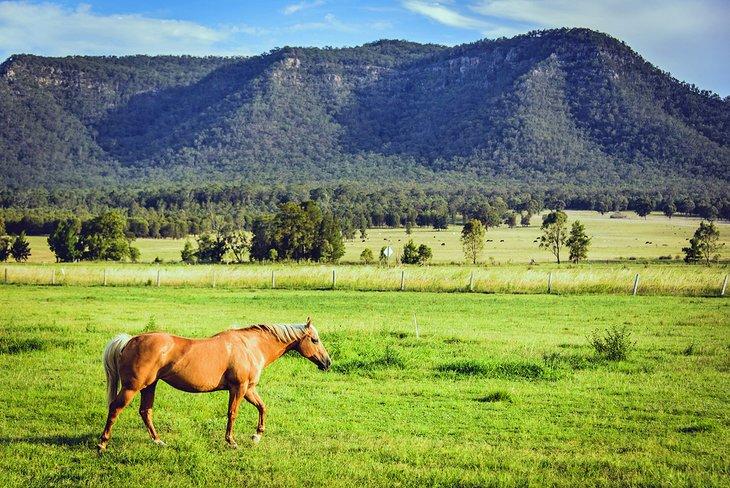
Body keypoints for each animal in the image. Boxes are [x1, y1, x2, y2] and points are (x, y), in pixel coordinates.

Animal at [97, 317, 331, 451]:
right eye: (315, 340)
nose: (327, 363)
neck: (250, 346)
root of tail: (130, 340)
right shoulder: (239, 388)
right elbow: (232, 414)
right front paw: (232, 441)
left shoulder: (249, 389)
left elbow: (262, 407)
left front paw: (256, 436)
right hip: (132, 388)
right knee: (115, 409)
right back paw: (102, 444)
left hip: (149, 386)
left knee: (146, 412)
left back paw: (158, 441)